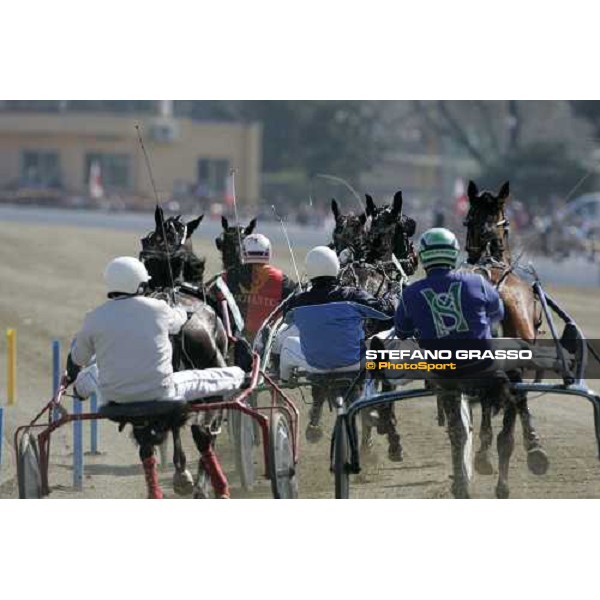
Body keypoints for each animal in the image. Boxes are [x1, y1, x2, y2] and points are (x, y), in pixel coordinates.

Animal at [138, 209, 230, 500]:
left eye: (147, 240)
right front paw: (186, 476)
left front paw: (181, 472)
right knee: (202, 433)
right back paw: (206, 485)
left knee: (147, 440)